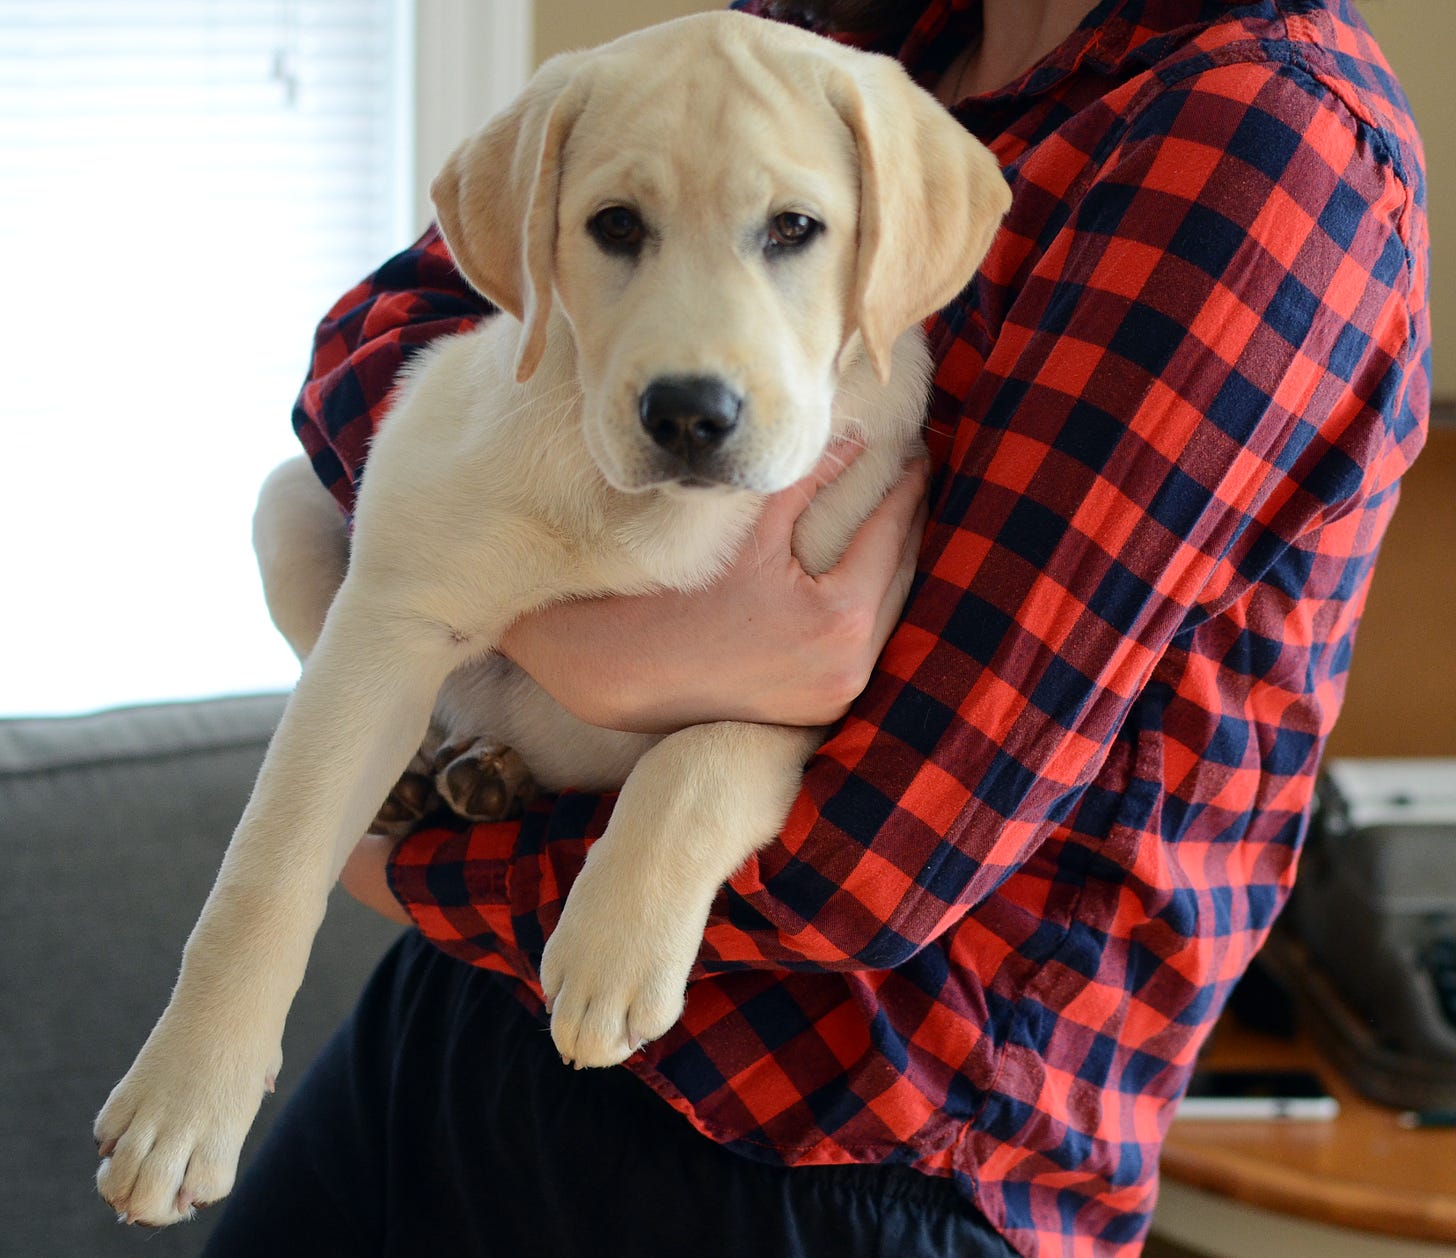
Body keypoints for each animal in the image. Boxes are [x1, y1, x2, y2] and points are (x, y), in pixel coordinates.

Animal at [96, 9, 1007, 1228]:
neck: (644, 514)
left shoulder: (826, 678)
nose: (689, 414)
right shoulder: (389, 614)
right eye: (613, 226)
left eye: (795, 229)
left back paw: (489, 775)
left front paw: (612, 952)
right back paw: (430, 773)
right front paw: (183, 1103)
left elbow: (695, 763)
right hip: (291, 505)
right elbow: (263, 879)